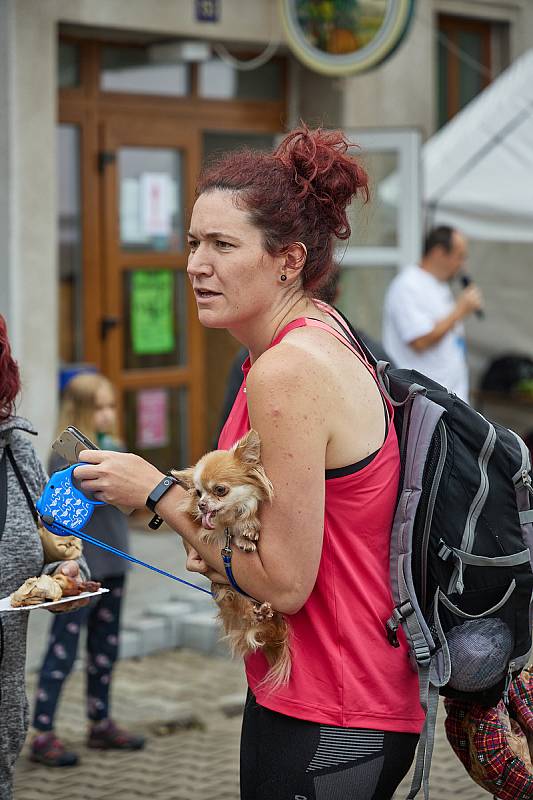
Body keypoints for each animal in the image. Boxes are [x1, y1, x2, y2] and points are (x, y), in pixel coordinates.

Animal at [172, 432, 290, 688]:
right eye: (197, 493)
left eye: (220, 490)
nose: (201, 504)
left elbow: (247, 520)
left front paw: (248, 532)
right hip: (234, 594)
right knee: (251, 616)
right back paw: (259, 613)